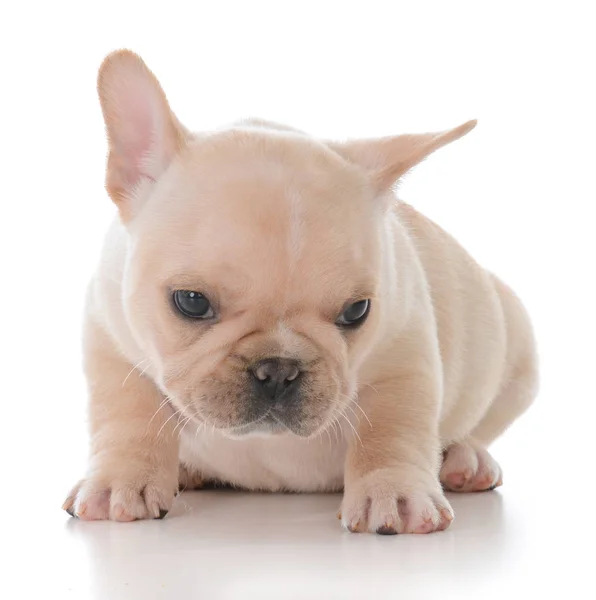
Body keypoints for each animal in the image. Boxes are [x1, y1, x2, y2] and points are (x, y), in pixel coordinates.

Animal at [62, 49, 536, 532]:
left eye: (356, 311)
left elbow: (392, 428)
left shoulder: (404, 357)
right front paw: (119, 482)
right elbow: (126, 415)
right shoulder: (111, 339)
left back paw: (466, 460)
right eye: (191, 302)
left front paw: (394, 493)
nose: (278, 369)